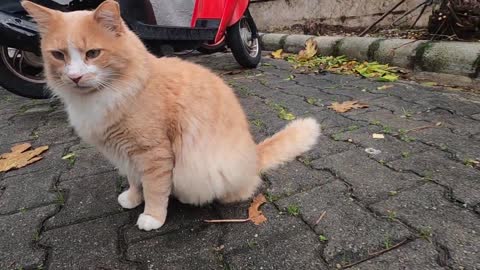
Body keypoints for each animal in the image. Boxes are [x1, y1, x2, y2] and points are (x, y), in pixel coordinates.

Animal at [23, 0, 322, 230]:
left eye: (93, 53)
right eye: (58, 55)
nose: (74, 77)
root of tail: (253, 154)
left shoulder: (153, 153)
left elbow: (155, 188)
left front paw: (152, 216)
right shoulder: (127, 154)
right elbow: (135, 180)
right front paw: (133, 197)